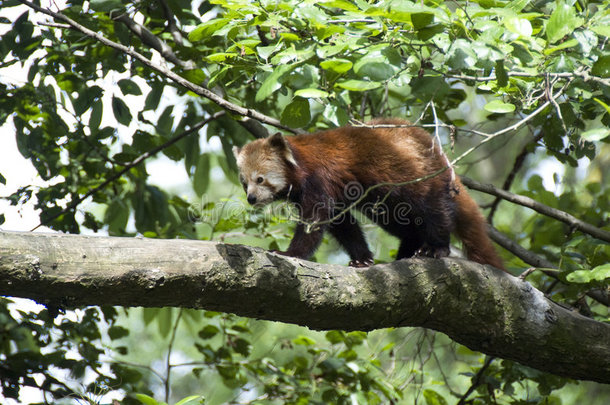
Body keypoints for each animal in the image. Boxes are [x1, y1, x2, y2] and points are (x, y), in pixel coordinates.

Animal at [232, 117, 504, 268]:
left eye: (260, 179)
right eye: (245, 183)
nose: (251, 198)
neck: (301, 162)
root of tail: (442, 157)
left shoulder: (319, 179)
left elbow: (314, 222)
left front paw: (290, 253)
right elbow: (344, 225)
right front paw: (362, 259)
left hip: (421, 180)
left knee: (434, 212)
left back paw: (435, 248)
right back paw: (406, 252)